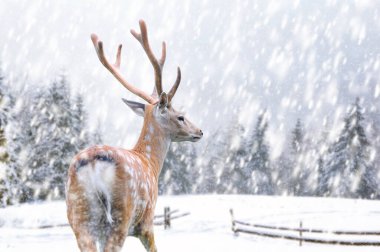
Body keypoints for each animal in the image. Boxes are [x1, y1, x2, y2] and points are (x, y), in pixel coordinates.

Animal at [66, 20, 202, 252]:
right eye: (181, 116)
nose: (199, 131)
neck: (150, 163)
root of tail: (92, 164)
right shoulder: (147, 222)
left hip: (79, 217)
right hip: (121, 215)